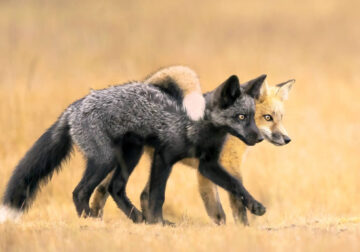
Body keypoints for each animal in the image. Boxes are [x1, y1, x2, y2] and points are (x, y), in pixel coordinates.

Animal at [0, 69, 266, 224]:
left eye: (253, 117)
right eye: (241, 117)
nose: (259, 138)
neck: (198, 127)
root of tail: (75, 106)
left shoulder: (207, 164)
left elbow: (236, 185)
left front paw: (255, 205)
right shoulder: (164, 157)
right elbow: (157, 195)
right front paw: (158, 223)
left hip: (131, 155)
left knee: (115, 188)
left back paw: (137, 219)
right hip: (105, 160)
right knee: (80, 191)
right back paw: (90, 220)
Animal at [88, 66, 294, 225]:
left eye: (281, 117)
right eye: (267, 118)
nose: (287, 139)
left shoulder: (209, 166)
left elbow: (230, 195)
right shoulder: (220, 167)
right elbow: (230, 205)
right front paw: (238, 228)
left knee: (124, 191)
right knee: (113, 188)